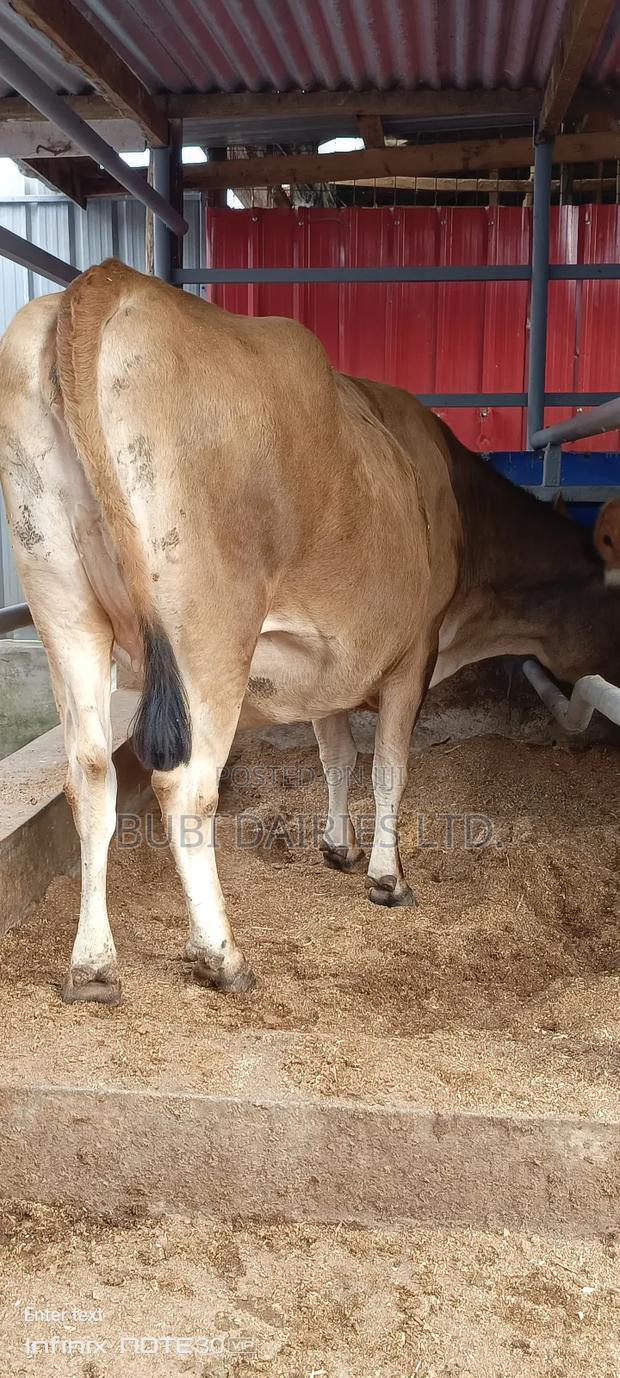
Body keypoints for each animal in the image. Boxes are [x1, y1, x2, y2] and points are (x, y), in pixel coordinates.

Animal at [0, 259, 618, 1006]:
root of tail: (111, 280)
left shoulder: (330, 665)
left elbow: (337, 756)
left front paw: (337, 847)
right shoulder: (416, 652)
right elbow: (388, 766)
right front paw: (387, 877)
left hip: (63, 605)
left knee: (89, 776)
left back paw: (93, 968)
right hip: (208, 634)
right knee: (185, 786)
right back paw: (221, 955)